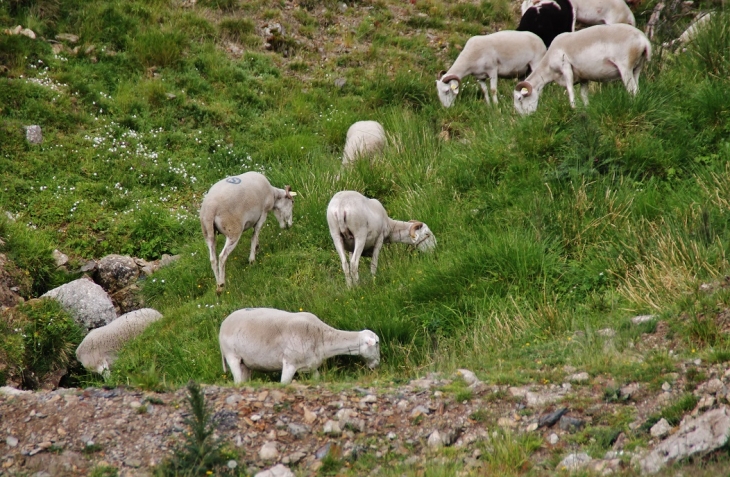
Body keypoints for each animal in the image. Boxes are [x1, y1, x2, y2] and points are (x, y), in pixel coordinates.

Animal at [218, 308, 382, 384]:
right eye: (377, 343)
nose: (376, 365)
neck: (322, 338)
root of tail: (224, 322)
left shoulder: (311, 367)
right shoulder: (289, 363)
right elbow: (284, 383)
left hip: (245, 363)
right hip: (232, 355)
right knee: (237, 381)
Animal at [512, 24, 648, 116]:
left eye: (519, 99)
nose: (526, 119)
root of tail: (643, 40)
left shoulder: (566, 68)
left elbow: (570, 91)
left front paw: (573, 109)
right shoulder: (583, 77)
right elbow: (584, 95)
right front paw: (587, 109)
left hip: (625, 69)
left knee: (632, 90)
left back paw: (632, 106)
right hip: (637, 68)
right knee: (637, 89)